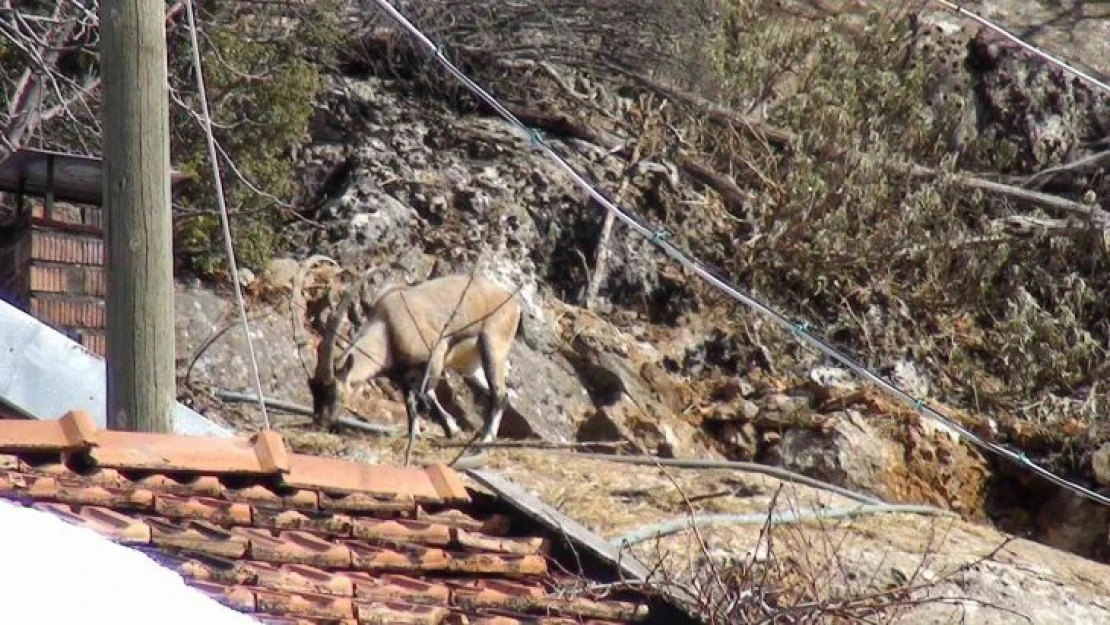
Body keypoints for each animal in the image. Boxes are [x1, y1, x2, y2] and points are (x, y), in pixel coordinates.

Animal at [299, 256, 523, 466]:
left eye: (333, 391)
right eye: (313, 389)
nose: (319, 423)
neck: (388, 328)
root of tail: (511, 302)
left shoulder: (436, 352)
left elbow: (426, 392)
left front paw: (452, 429)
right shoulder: (403, 376)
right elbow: (410, 403)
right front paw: (415, 434)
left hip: (493, 345)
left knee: (500, 394)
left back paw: (484, 442)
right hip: (471, 367)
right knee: (497, 394)